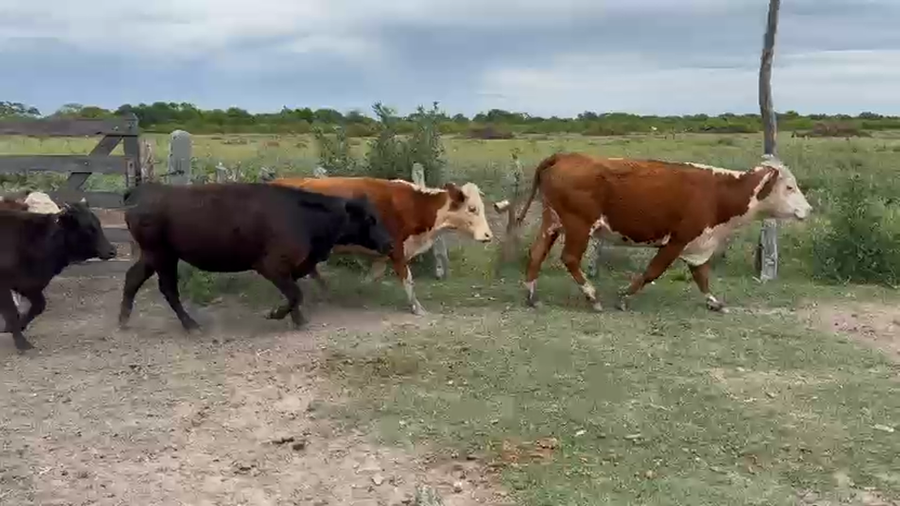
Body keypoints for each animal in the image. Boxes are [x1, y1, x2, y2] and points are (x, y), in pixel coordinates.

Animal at [1, 201, 117, 351]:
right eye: (88, 228)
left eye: (98, 223)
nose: (112, 251)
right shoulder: (5, 286)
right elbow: (11, 313)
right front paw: (21, 343)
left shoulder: (27, 284)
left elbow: (39, 306)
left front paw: (15, 327)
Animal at [117, 182, 394, 332]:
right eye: (370, 219)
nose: (390, 243)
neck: (303, 217)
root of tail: (142, 190)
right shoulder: (270, 265)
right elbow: (296, 294)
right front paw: (277, 314)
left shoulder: (292, 268)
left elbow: (294, 294)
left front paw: (298, 319)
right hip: (162, 255)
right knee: (168, 288)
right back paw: (191, 325)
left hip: (153, 255)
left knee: (133, 278)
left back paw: (124, 320)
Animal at [270, 176, 494, 315]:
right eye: (472, 208)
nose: (488, 236)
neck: (414, 205)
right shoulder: (397, 249)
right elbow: (408, 279)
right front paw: (417, 308)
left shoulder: (384, 253)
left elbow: (372, 277)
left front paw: (359, 292)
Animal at [515, 152, 812, 313]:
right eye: (789, 187)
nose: (808, 209)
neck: (718, 193)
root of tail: (565, 156)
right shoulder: (677, 240)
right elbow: (652, 272)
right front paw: (624, 298)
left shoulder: (698, 244)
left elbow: (702, 277)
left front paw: (714, 302)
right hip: (578, 225)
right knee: (570, 258)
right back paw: (592, 296)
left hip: (552, 222)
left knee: (536, 252)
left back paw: (532, 296)